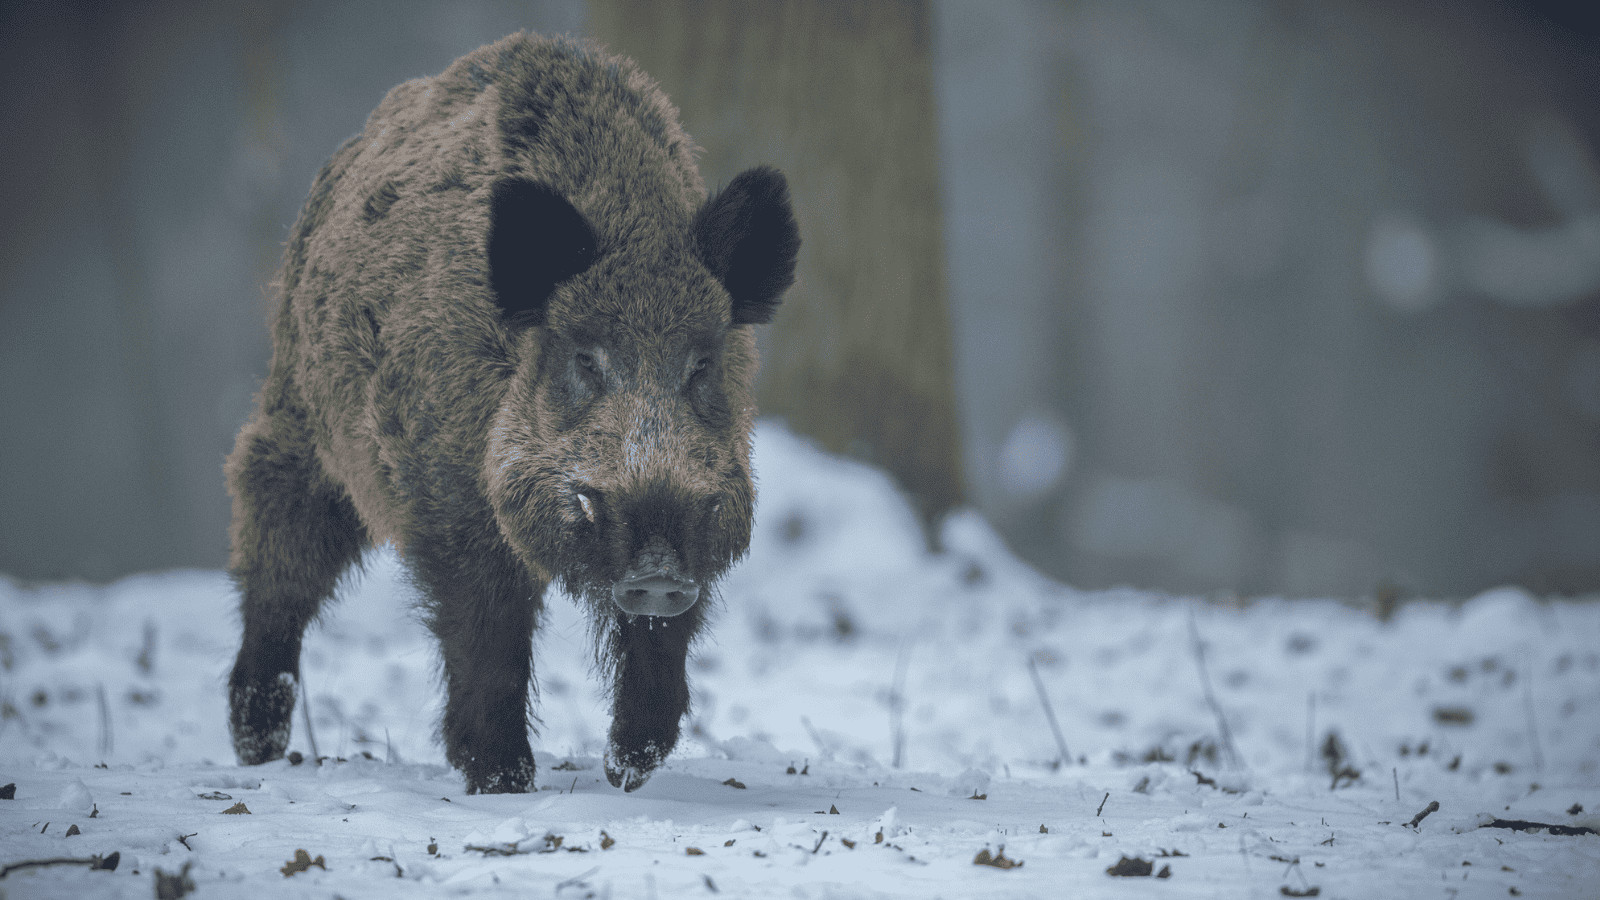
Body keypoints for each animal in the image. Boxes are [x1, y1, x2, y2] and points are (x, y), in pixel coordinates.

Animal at [225, 32, 799, 794]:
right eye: (584, 358)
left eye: (702, 363)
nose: (655, 573)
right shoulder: (447, 496)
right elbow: (488, 633)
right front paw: (503, 780)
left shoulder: (706, 506)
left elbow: (662, 642)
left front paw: (626, 769)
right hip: (300, 419)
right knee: (277, 544)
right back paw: (256, 746)